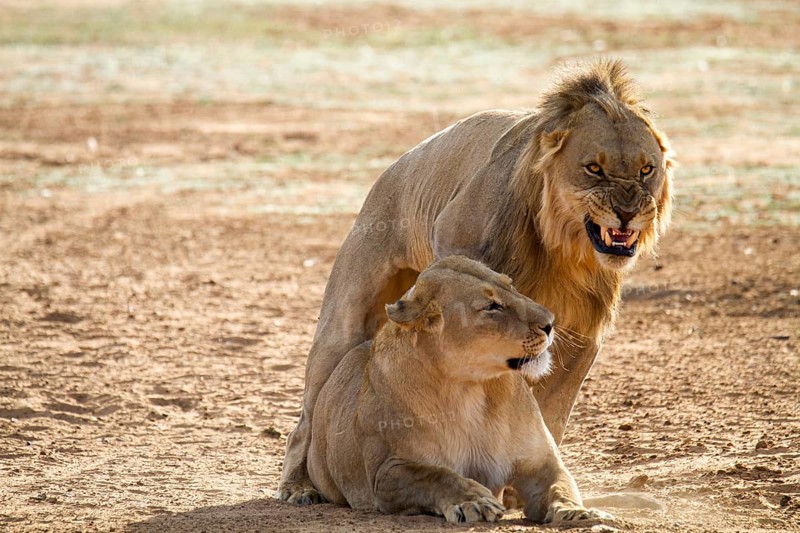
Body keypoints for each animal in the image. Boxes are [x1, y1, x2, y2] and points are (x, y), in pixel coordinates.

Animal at [308, 256, 612, 524]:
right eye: (492, 306)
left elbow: (561, 487)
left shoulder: (540, 463)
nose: (550, 323)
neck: (470, 388)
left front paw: (578, 512)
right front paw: (474, 502)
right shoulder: (386, 472)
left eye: (511, 285)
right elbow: (435, 475)